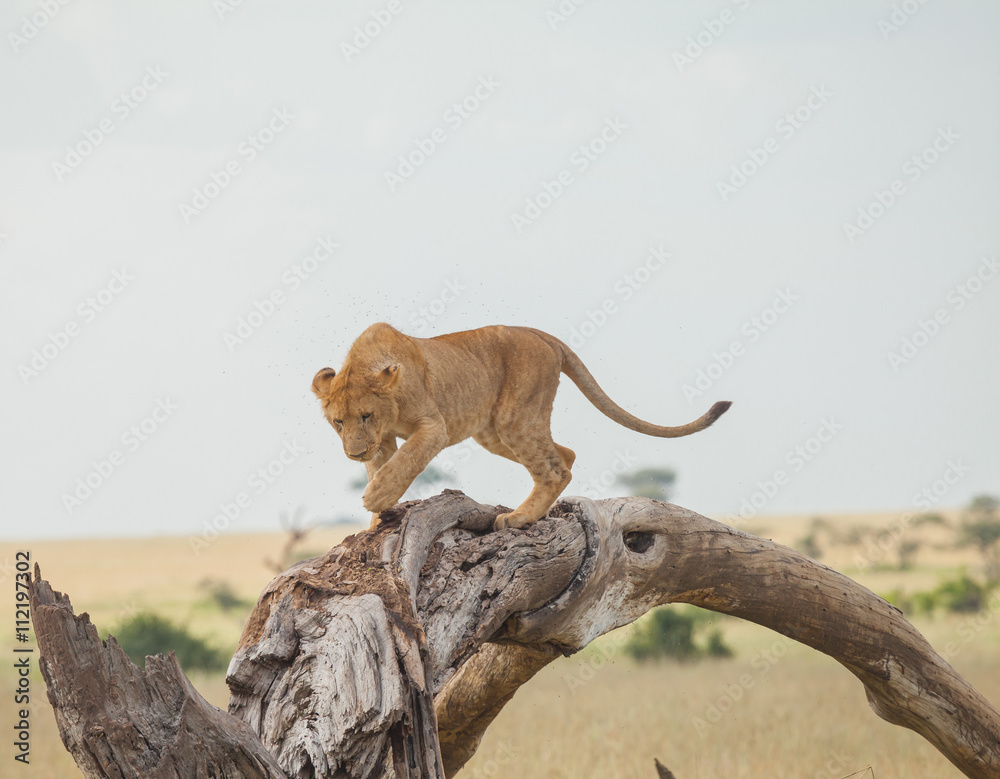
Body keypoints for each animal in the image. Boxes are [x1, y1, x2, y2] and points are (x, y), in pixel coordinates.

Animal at [312, 323, 730, 530]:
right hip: (494, 431)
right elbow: (382, 466)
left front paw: (374, 498)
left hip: (515, 418)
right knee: (565, 455)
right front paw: (374, 522)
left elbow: (404, 463)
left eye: (366, 415)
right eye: (338, 422)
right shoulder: (380, 441)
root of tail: (540, 334)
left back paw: (519, 518)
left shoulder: (433, 426)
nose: (354, 452)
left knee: (554, 468)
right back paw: (534, 512)